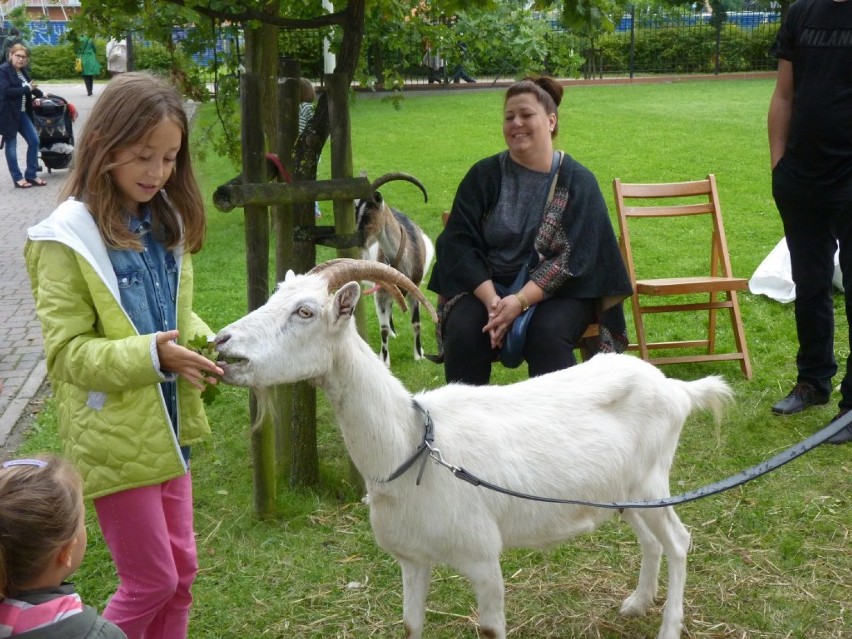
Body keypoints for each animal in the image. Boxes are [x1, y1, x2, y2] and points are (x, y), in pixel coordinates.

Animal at [213, 260, 732, 639]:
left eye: (304, 312)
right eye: (271, 298)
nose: (221, 343)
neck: (411, 446)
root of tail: (675, 388)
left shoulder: (483, 557)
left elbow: (490, 629)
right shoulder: (412, 558)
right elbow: (411, 625)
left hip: (652, 482)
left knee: (679, 541)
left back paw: (669, 626)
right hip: (622, 493)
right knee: (652, 541)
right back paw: (637, 603)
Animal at [354, 172, 432, 368]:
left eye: (368, 211)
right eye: (355, 210)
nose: (357, 244)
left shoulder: (414, 290)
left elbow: (416, 323)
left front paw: (419, 354)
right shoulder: (381, 293)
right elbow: (382, 328)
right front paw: (384, 360)